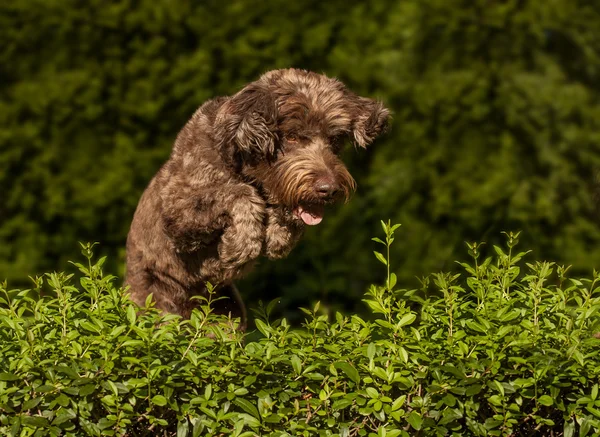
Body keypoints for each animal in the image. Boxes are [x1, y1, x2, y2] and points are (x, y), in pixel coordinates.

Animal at [124, 68, 392, 328]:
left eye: (334, 140)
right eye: (292, 136)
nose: (329, 189)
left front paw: (277, 234)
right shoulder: (177, 210)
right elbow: (238, 192)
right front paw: (240, 244)